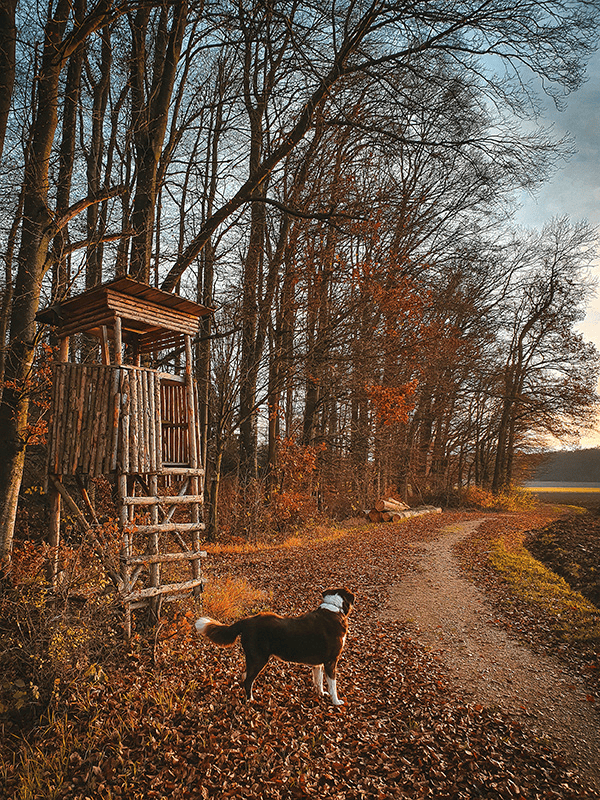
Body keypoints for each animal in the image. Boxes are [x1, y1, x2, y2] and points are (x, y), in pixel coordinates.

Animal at [195, 588, 354, 708]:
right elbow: (333, 685)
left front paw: (320, 694)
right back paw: (250, 700)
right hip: (258, 659)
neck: (335, 609)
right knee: (248, 680)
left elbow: (319, 680)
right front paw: (336, 702)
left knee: (244, 676)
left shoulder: (318, 663)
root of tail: (247, 621)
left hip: (253, 659)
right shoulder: (331, 661)